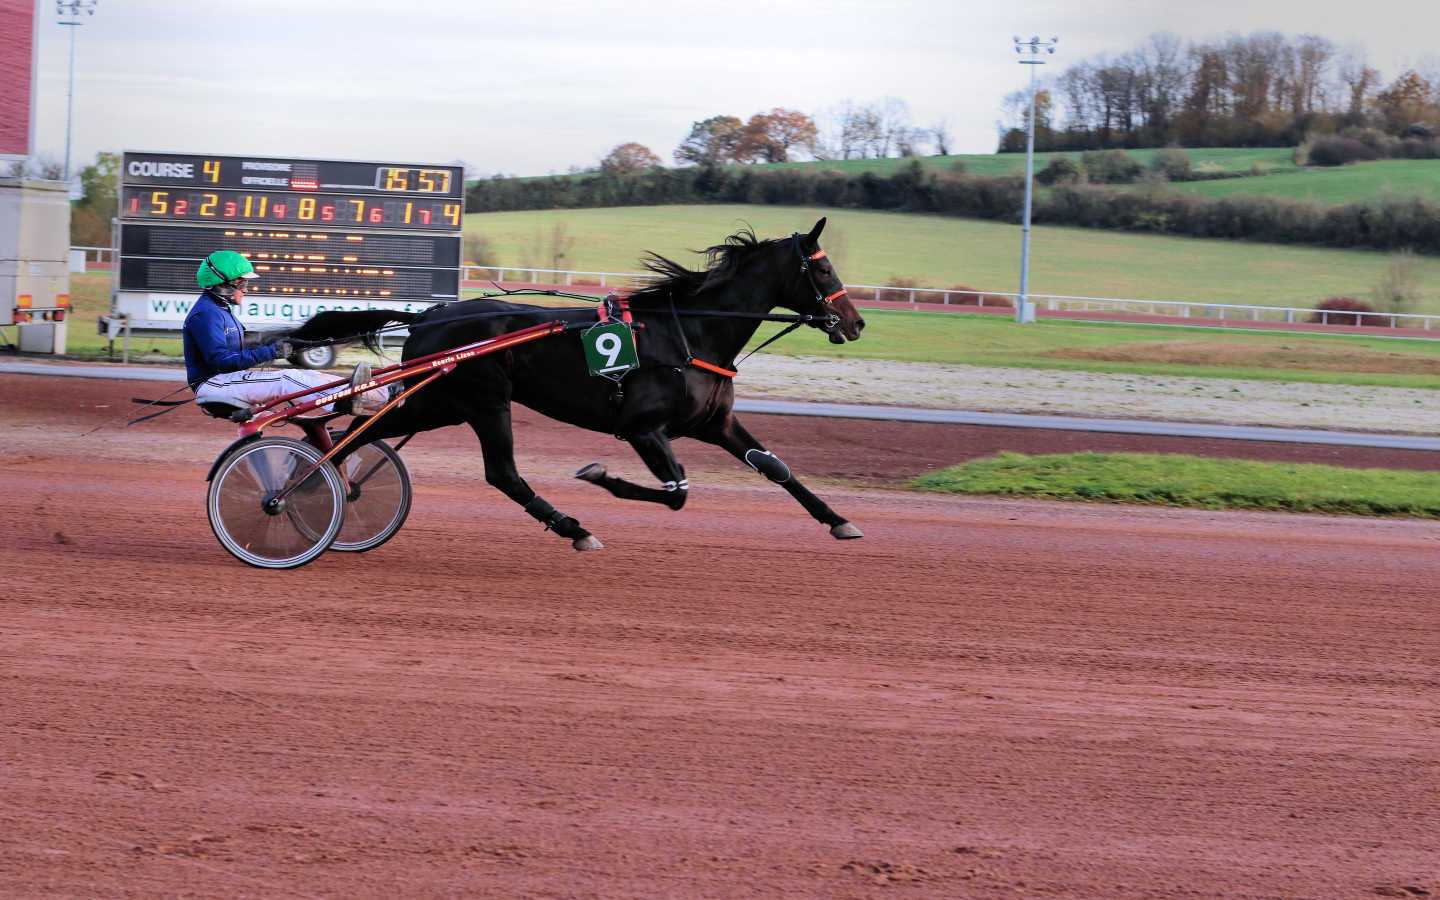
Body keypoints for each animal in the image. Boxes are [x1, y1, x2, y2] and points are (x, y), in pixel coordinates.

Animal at [286, 221, 858, 550]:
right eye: (823, 270)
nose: (854, 324)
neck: (691, 333)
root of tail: (432, 313)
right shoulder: (642, 427)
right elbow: (676, 492)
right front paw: (598, 475)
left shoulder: (716, 423)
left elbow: (775, 467)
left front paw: (838, 520)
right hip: (484, 399)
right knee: (502, 472)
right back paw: (573, 528)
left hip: (440, 402)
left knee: (356, 432)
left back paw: (317, 482)